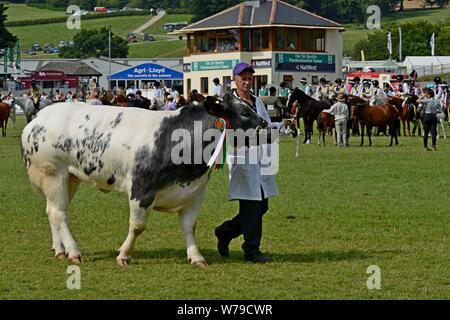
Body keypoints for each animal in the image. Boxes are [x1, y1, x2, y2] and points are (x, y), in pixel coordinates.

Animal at [20, 94, 268, 268]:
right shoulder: (142, 188)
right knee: (59, 213)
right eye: (245, 112)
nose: (266, 126)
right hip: (54, 174)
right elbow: (138, 226)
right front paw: (124, 255)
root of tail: (39, 117)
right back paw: (73, 252)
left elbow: (190, 226)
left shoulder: (194, 193)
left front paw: (196, 257)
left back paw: (59, 249)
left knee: (52, 210)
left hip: (70, 178)